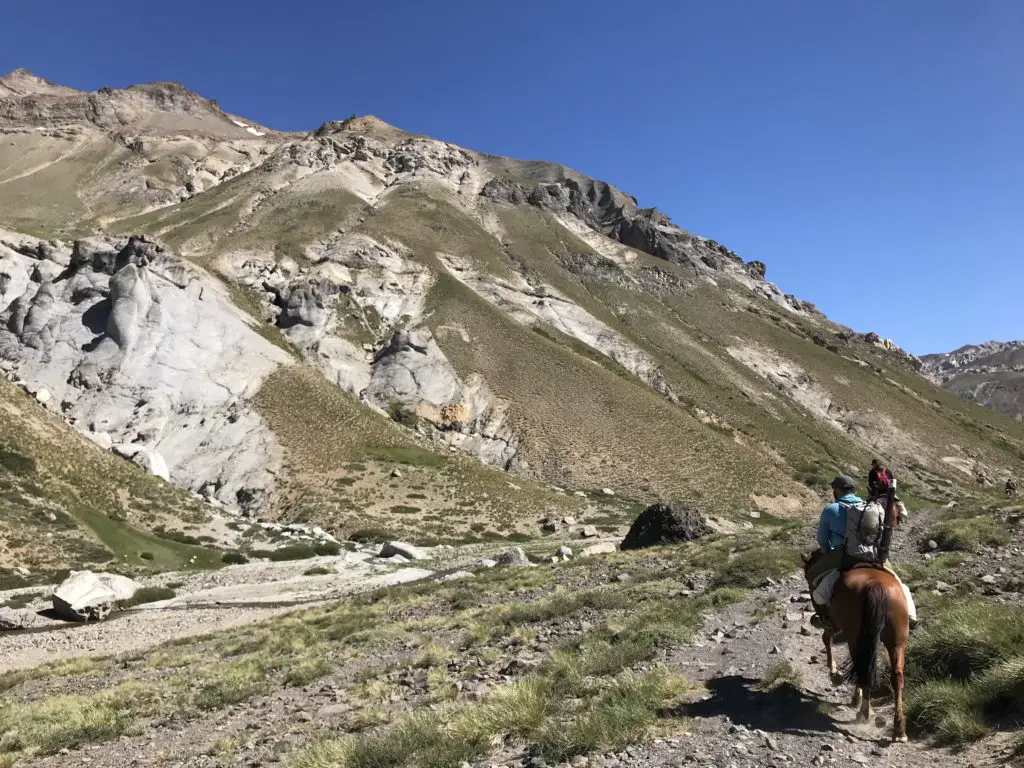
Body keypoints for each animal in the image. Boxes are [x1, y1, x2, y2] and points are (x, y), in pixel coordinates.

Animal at [802, 552, 909, 745]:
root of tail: (876, 584)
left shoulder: (835, 624)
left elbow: (826, 638)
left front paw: (835, 675)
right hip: (897, 642)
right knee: (897, 677)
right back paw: (899, 730)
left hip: (855, 637)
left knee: (862, 668)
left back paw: (864, 712)